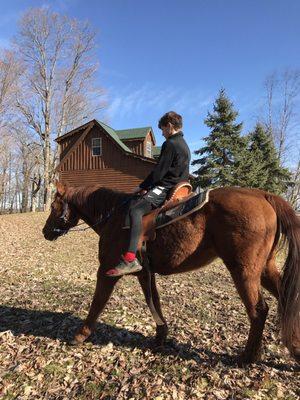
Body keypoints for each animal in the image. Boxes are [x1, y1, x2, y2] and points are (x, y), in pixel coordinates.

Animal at [42, 183, 300, 364]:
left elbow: (96, 304)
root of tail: (262, 195)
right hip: (264, 269)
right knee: (286, 298)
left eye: (54, 206)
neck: (114, 216)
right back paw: (294, 349)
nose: (45, 232)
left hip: (244, 271)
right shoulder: (145, 274)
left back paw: (248, 357)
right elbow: (154, 302)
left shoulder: (107, 271)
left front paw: (80, 335)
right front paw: (160, 336)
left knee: (258, 311)